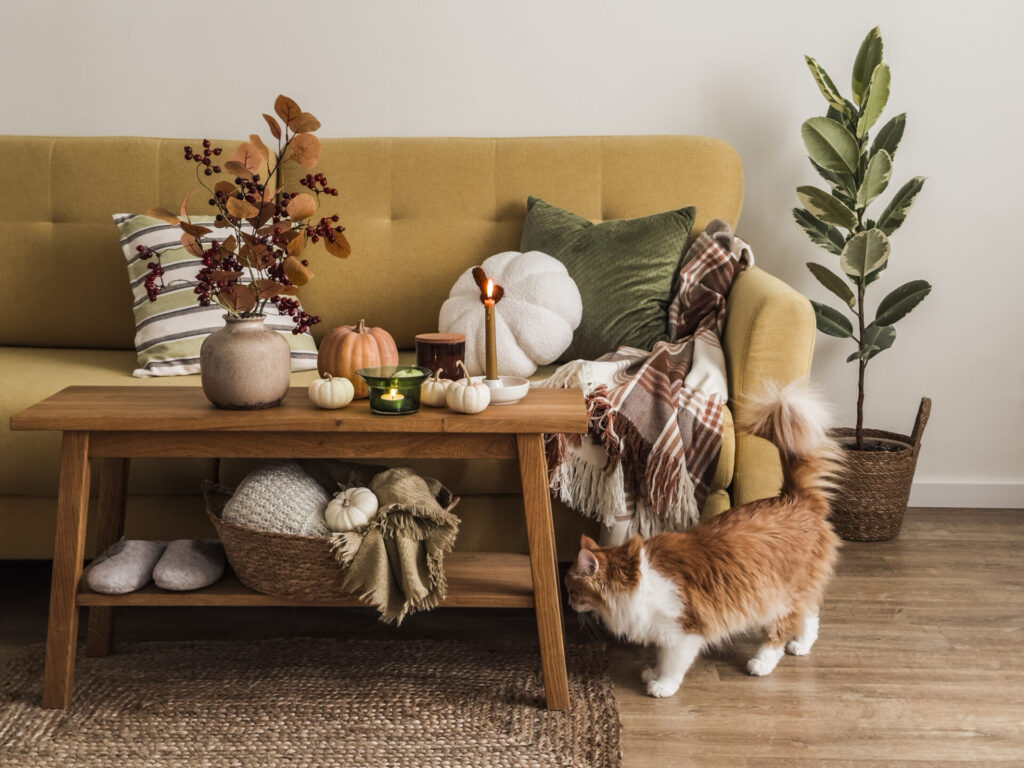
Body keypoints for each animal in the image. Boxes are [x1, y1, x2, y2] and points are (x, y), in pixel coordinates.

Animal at [569, 382, 839, 696]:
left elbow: (672, 663)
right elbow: (660, 657)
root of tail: (794, 498)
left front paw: (662, 685)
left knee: (780, 631)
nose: (569, 603)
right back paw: (801, 645)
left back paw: (761, 663)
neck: (638, 581)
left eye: (571, 588)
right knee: (810, 615)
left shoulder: (682, 632)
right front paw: (652, 673)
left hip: (775, 596)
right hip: (788, 592)